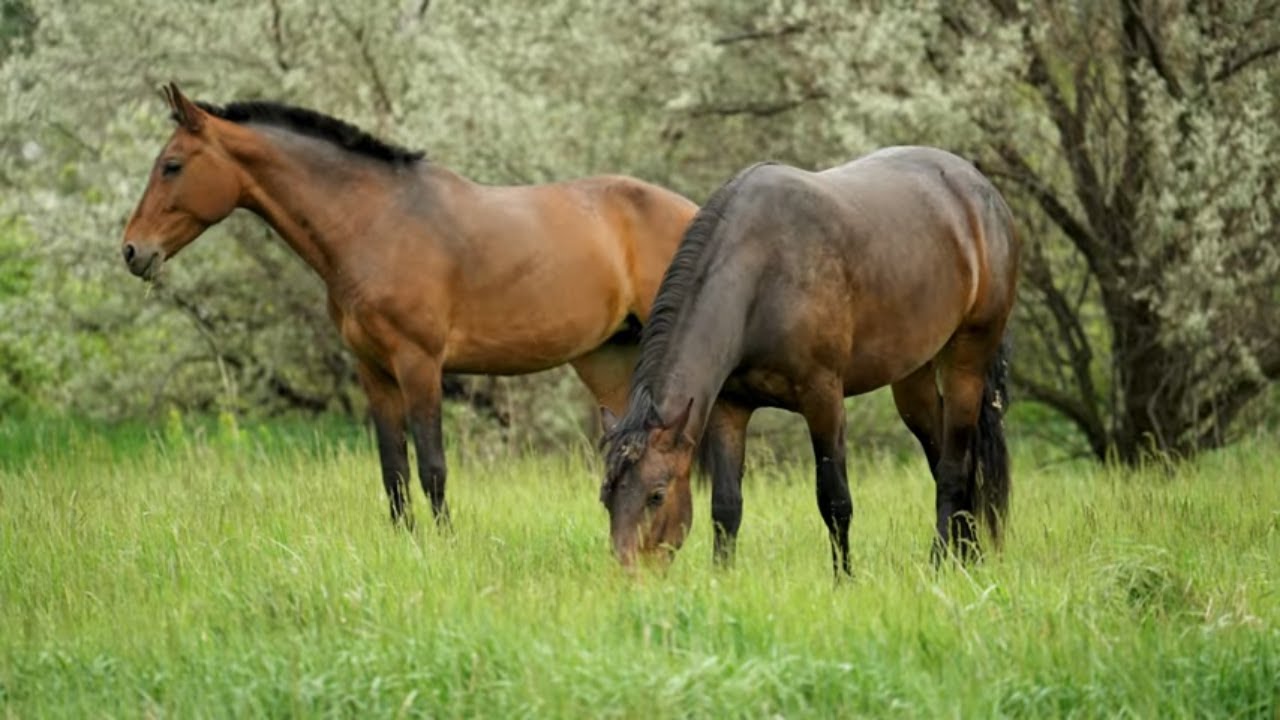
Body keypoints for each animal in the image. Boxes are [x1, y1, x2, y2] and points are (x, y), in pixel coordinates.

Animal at [122, 83, 698, 529]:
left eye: (171, 165)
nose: (132, 250)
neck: (377, 222)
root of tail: (692, 210)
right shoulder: (373, 369)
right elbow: (393, 468)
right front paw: (407, 542)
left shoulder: (419, 364)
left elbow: (432, 466)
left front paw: (443, 545)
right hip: (610, 357)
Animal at [600, 147, 1019, 574]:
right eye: (606, 497)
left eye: (656, 494)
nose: (631, 574)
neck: (760, 274)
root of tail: (980, 190)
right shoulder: (729, 407)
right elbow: (726, 504)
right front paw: (722, 576)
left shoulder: (823, 399)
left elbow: (834, 499)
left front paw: (844, 578)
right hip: (913, 376)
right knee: (946, 460)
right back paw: (967, 558)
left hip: (966, 361)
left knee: (953, 468)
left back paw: (938, 562)